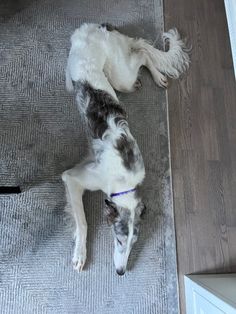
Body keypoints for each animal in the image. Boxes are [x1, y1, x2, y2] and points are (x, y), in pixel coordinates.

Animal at [61, 22, 190, 274]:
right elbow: (83, 222)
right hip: (120, 76)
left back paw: (158, 77)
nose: (121, 272)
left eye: (134, 243)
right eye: (119, 239)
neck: (124, 181)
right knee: (141, 49)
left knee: (142, 51)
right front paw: (80, 255)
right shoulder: (72, 178)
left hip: (122, 78)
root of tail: (98, 27)